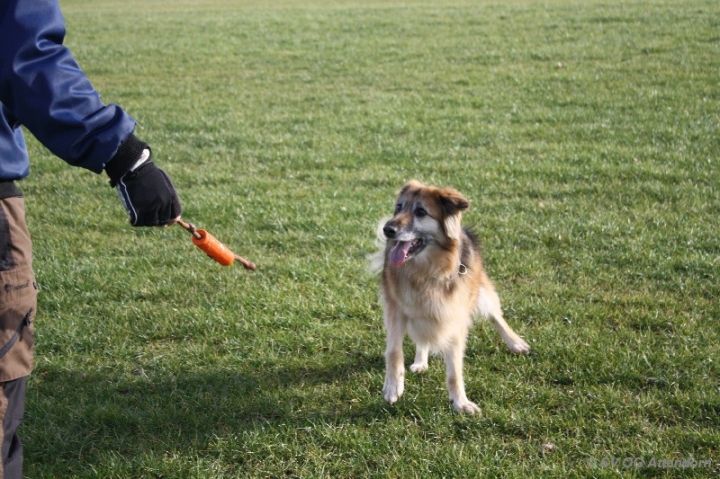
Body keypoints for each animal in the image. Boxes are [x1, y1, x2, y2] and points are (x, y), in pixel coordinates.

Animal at [376, 180, 528, 412]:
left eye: (421, 212)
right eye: (399, 207)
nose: (387, 229)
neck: (426, 271)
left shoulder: (454, 315)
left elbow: (455, 368)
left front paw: (460, 402)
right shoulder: (395, 309)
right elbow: (394, 352)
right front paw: (393, 387)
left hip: (481, 293)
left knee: (496, 316)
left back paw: (515, 343)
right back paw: (420, 361)